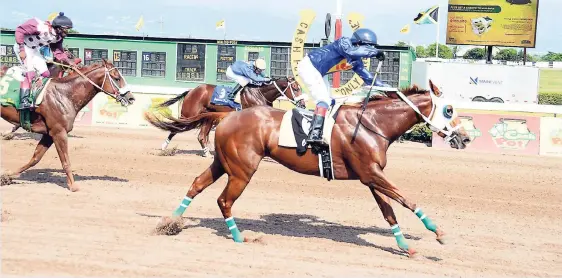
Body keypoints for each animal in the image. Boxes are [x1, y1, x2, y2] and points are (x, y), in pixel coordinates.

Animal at [0, 59, 135, 192]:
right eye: (117, 78)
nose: (131, 98)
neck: (65, 94)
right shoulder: (59, 132)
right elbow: (65, 161)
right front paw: (73, 185)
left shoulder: (49, 134)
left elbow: (36, 158)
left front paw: (7, 176)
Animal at [155, 76, 304, 157]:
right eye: (296, 88)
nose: (302, 103)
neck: (260, 93)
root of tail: (192, 90)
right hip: (189, 114)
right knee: (175, 127)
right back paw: (163, 146)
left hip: (207, 117)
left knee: (201, 135)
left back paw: (207, 153)